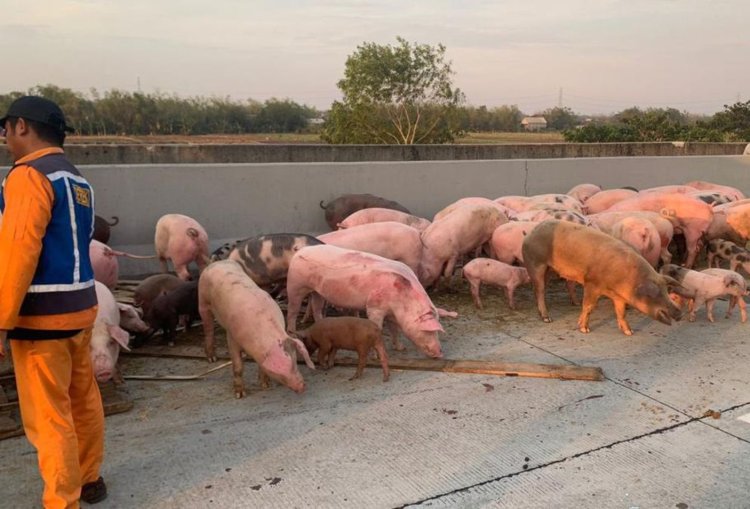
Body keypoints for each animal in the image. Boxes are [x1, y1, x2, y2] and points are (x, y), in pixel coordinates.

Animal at [198, 258, 316, 396]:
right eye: (280, 373)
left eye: (295, 361)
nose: (302, 386)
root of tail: (217, 262)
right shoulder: (232, 336)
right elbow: (238, 365)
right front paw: (240, 394)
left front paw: (266, 386)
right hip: (202, 301)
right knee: (208, 328)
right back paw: (212, 358)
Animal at [286, 245, 452, 358]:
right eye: (430, 331)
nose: (440, 353)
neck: (402, 303)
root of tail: (300, 251)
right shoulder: (374, 307)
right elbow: (377, 327)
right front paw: (376, 355)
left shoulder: (391, 313)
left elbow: (394, 330)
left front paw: (401, 348)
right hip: (295, 285)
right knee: (292, 310)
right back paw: (293, 333)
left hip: (317, 291)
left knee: (317, 307)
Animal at [524, 218, 684, 334]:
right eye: (654, 295)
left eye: (665, 291)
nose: (679, 313)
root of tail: (532, 232)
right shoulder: (591, 283)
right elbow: (589, 306)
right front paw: (584, 329)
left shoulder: (619, 296)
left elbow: (621, 312)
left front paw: (629, 332)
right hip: (536, 263)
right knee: (539, 290)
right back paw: (547, 319)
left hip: (550, 269)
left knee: (548, 287)